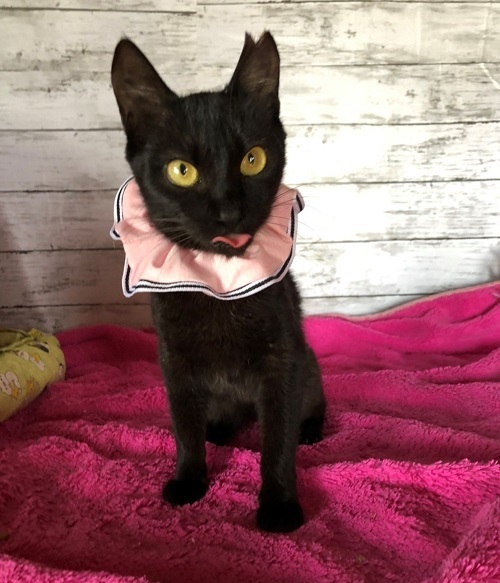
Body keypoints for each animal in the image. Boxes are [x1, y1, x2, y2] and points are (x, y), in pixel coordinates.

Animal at [111, 32, 325, 533]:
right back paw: (222, 430)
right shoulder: (174, 361)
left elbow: (277, 439)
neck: (218, 286)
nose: (229, 211)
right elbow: (184, 429)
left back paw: (310, 430)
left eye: (253, 160)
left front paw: (279, 504)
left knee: (310, 403)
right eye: (181, 170)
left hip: (308, 366)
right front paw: (190, 479)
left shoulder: (283, 359)